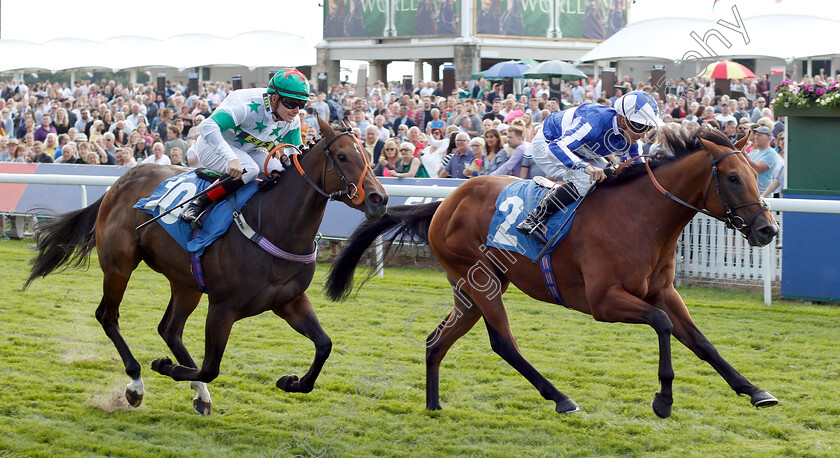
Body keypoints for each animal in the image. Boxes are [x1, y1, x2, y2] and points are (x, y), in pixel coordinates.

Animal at [24, 117, 388, 416]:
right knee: (108, 316)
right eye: (342, 156)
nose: (379, 199)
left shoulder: (289, 301)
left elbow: (324, 345)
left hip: (185, 281)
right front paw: (165, 366)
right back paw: (136, 383)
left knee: (169, 328)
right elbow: (211, 367)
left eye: (368, 155)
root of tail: (122, 180)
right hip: (119, 266)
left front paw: (291, 381)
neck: (275, 225)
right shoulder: (223, 307)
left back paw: (200, 394)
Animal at [326, 127, 780, 416]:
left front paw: (755, 390)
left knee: (437, 340)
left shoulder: (664, 291)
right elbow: (663, 324)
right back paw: (561, 398)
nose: (767, 229)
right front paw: (664, 399)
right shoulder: (604, 302)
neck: (641, 218)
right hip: (482, 282)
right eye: (733, 178)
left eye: (757, 174)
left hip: (470, 289)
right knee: (503, 343)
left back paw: (434, 405)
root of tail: (446, 202)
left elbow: (701, 341)